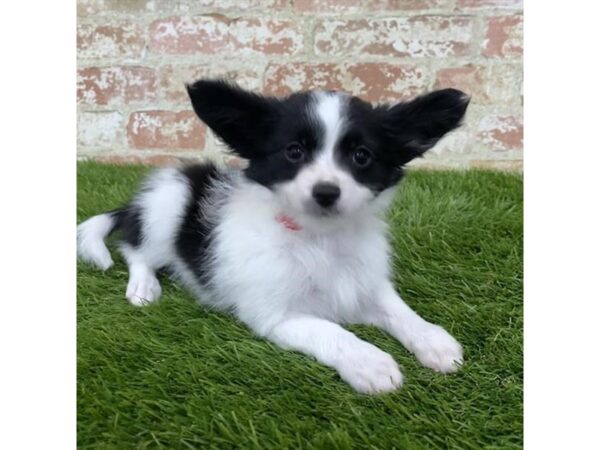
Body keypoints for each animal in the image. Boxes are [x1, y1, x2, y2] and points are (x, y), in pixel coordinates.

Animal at [77, 81, 468, 394]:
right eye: (294, 151)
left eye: (362, 156)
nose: (326, 192)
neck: (319, 239)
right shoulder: (277, 315)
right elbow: (332, 332)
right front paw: (371, 363)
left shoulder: (365, 282)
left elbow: (398, 309)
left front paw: (433, 340)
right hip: (166, 205)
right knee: (135, 248)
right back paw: (143, 286)